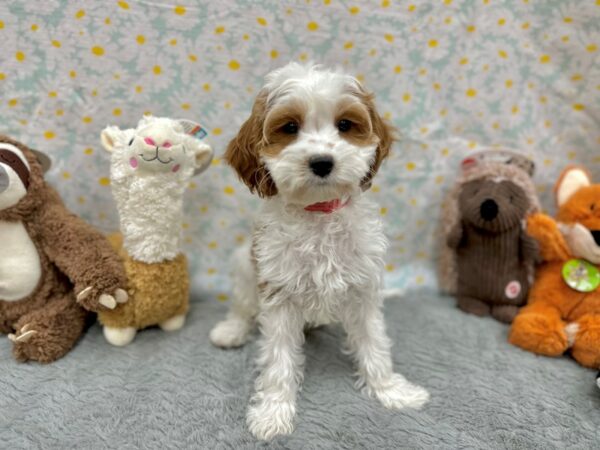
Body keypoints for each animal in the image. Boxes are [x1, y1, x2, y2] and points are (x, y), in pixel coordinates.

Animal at [210, 63, 426, 440]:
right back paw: (231, 330)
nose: (322, 162)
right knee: (242, 306)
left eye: (345, 125)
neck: (319, 215)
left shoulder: (363, 289)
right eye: (290, 128)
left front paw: (391, 391)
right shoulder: (278, 294)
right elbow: (278, 360)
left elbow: (374, 344)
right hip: (244, 264)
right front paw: (273, 413)